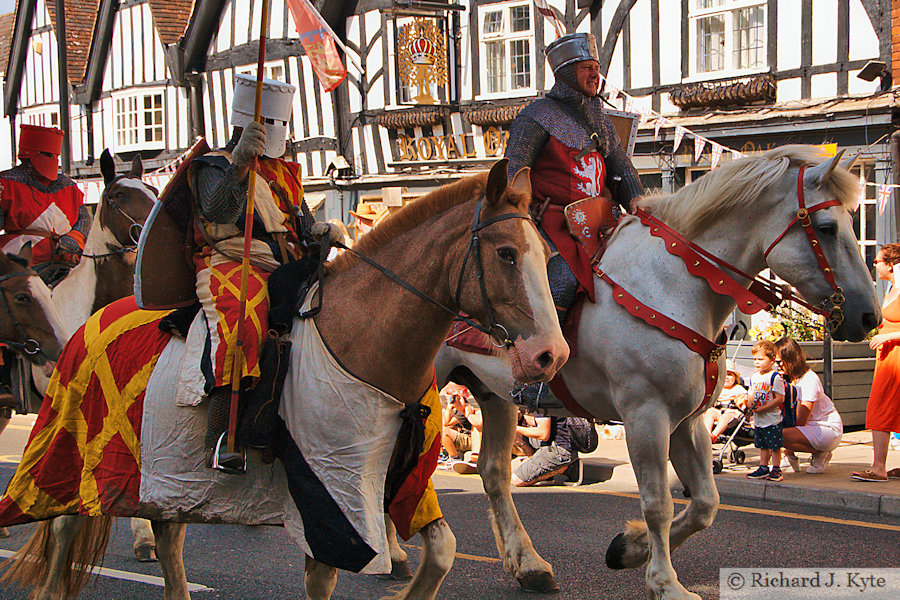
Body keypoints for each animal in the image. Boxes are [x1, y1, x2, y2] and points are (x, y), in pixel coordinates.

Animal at [0, 159, 568, 600]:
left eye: (544, 252)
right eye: (506, 253)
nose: (550, 354)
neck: (356, 336)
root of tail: (86, 325)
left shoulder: (396, 479)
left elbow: (444, 551)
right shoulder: (326, 493)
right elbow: (323, 578)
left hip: (166, 469)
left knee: (168, 538)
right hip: (77, 452)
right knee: (65, 526)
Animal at [428, 146, 880, 600]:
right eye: (826, 227)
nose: (869, 316)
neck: (674, 284)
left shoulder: (689, 421)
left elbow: (705, 503)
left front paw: (628, 549)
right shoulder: (646, 415)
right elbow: (657, 502)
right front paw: (664, 582)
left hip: (493, 395)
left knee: (494, 473)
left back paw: (528, 565)